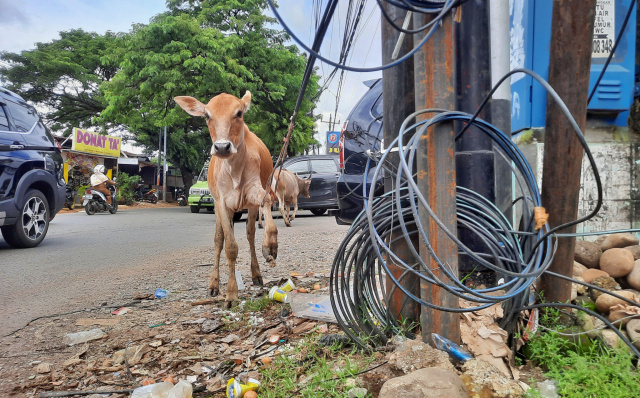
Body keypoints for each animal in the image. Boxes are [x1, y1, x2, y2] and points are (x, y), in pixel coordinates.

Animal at [175, 92, 278, 304]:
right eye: (207, 116)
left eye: (239, 113)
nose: (222, 147)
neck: (233, 167)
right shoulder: (221, 202)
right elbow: (229, 246)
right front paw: (231, 293)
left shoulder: (255, 191)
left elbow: (266, 202)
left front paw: (270, 246)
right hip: (219, 208)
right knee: (219, 240)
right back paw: (214, 285)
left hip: (249, 207)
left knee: (250, 234)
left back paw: (256, 274)